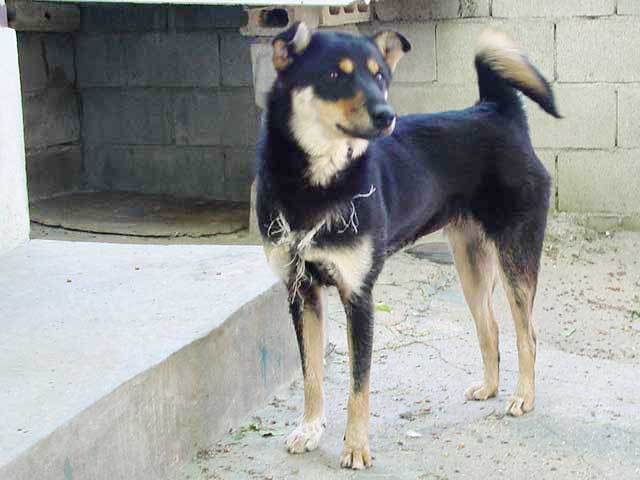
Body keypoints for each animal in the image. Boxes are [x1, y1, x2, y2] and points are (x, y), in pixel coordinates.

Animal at [255, 22, 559, 469]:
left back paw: (523, 396)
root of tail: (495, 109)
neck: (317, 185)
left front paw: (355, 447)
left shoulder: (359, 297)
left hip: (515, 256)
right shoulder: (301, 291)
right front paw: (310, 429)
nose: (387, 116)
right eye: (334, 75)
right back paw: (489, 387)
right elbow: (311, 374)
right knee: (489, 327)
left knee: (528, 334)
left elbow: (358, 386)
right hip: (470, 266)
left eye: (380, 76)